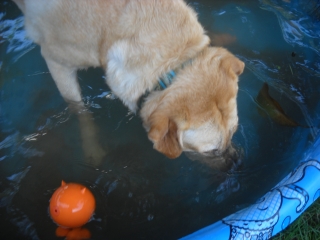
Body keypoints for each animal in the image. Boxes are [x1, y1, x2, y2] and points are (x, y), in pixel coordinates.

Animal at [11, 0, 244, 163]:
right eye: (211, 151)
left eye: (234, 132)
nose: (236, 163)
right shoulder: (56, 62)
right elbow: (80, 110)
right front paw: (92, 149)